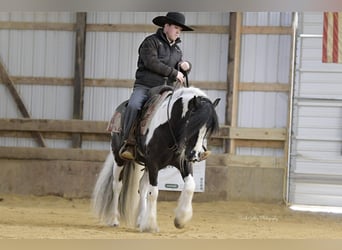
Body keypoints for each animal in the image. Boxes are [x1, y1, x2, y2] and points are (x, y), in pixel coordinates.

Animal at [91, 86, 220, 232]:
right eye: (192, 123)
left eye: (207, 129)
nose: (195, 155)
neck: (168, 126)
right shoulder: (154, 164)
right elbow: (153, 192)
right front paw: (151, 225)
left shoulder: (182, 162)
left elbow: (190, 186)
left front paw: (180, 219)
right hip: (119, 158)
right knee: (117, 185)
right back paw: (114, 219)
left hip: (145, 165)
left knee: (141, 186)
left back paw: (140, 220)